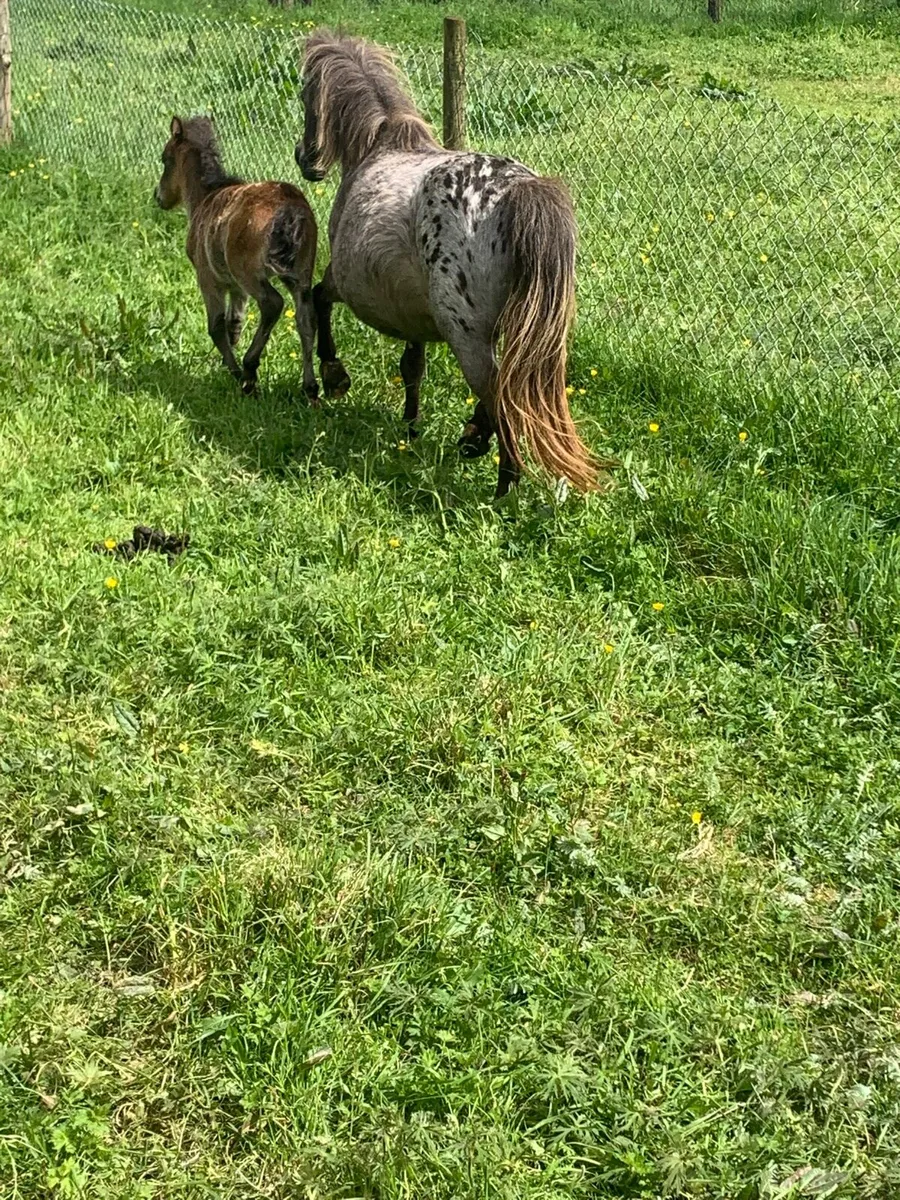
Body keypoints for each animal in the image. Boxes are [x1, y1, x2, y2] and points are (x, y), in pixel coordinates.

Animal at [156, 115, 319, 402]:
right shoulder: (234, 286)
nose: (159, 197)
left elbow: (216, 326)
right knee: (306, 320)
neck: (205, 196)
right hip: (300, 273)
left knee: (272, 304)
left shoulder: (209, 278)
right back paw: (310, 389)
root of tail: (289, 211)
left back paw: (249, 372)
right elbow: (235, 324)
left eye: (166, 159)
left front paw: (232, 370)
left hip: (249, 272)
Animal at [295, 31, 600, 499]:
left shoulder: (344, 281)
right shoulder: (411, 310)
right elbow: (412, 368)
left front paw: (335, 377)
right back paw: (478, 443)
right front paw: (413, 427)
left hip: (465, 333)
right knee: (503, 389)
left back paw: (503, 488)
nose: (304, 158)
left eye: (304, 93)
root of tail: (517, 191)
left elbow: (318, 300)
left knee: (500, 395)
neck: (379, 146)